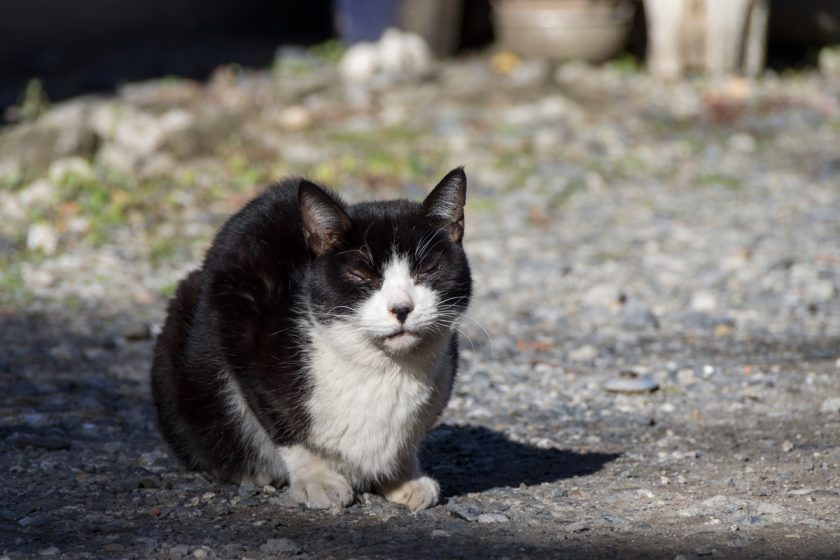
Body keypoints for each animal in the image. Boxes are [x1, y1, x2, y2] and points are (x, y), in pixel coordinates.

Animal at [148, 167, 470, 512]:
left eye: (428, 268)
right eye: (361, 274)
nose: (402, 308)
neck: (384, 368)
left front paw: (403, 478)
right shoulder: (241, 325)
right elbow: (281, 424)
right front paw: (318, 480)